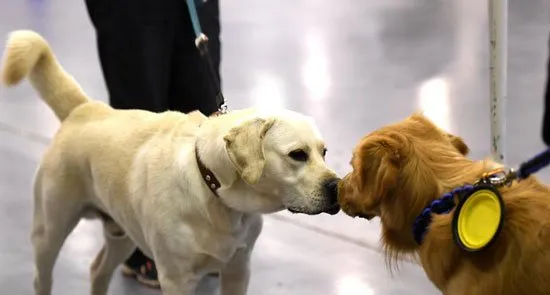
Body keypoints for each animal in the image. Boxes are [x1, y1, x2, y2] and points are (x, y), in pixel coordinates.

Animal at [2, 29, 342, 295]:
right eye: (297, 155)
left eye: (324, 152)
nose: (337, 188)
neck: (213, 188)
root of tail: (85, 109)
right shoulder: (177, 279)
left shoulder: (238, 269)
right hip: (49, 232)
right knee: (42, 279)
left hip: (122, 231)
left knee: (98, 269)